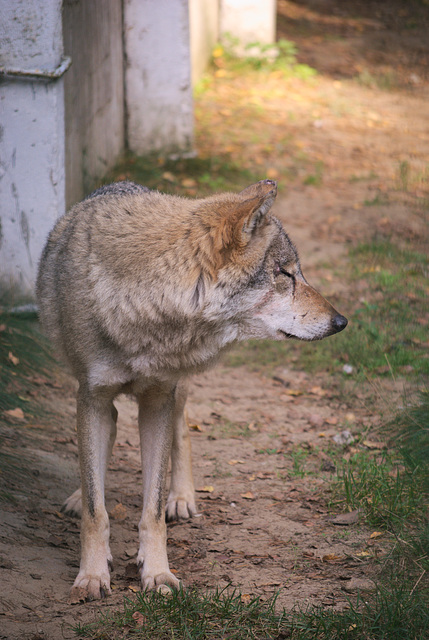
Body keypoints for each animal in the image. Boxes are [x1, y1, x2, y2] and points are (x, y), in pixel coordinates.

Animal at [35, 179, 346, 600]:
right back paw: (77, 495)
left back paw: (182, 499)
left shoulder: (158, 400)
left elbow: (152, 510)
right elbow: (96, 510)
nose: (341, 321)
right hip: (94, 398)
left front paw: (157, 573)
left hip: (175, 392)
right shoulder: (92, 396)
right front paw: (92, 575)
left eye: (296, 273)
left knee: (182, 432)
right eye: (285, 273)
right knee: (107, 440)